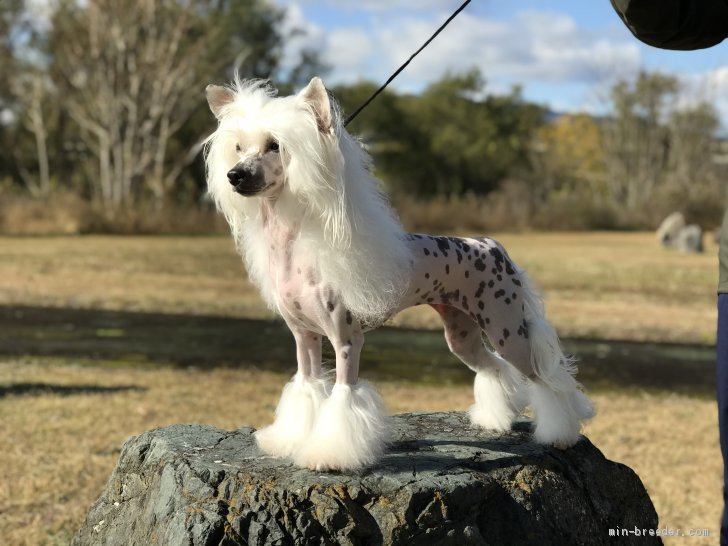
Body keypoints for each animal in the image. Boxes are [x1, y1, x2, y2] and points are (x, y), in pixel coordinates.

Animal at [202, 77, 596, 472]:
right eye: (238, 147)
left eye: (275, 146)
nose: (235, 175)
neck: (296, 252)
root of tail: (492, 245)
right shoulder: (304, 338)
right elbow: (307, 387)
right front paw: (288, 441)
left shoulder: (346, 341)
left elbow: (344, 396)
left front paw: (330, 455)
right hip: (462, 335)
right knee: (494, 369)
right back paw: (495, 418)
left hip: (507, 330)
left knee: (546, 380)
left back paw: (561, 432)